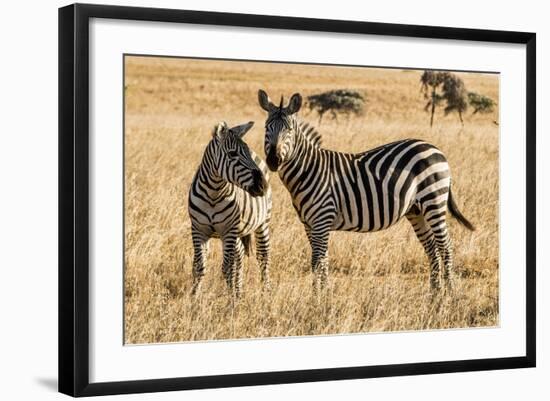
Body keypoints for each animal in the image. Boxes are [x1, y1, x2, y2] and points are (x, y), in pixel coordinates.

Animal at [189, 120, 272, 296]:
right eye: (233, 154)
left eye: (246, 152)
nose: (263, 186)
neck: (213, 193)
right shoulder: (198, 230)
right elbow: (199, 267)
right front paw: (193, 298)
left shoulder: (228, 231)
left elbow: (227, 269)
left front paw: (230, 302)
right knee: (239, 257)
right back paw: (239, 292)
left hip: (262, 223)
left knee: (263, 257)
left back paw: (266, 294)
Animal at [256, 89, 476, 292]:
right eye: (267, 127)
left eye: (289, 130)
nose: (273, 160)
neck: (309, 170)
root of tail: (435, 148)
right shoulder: (309, 225)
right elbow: (321, 260)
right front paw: (321, 293)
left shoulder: (322, 220)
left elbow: (318, 261)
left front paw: (318, 296)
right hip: (416, 210)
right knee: (431, 248)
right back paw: (434, 293)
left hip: (434, 201)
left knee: (445, 246)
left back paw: (450, 293)